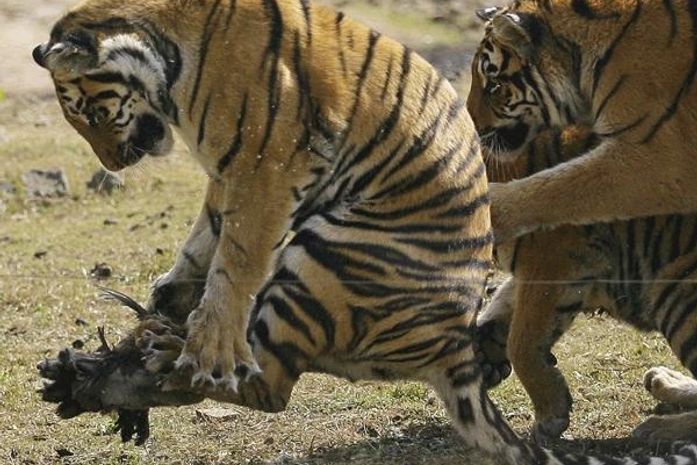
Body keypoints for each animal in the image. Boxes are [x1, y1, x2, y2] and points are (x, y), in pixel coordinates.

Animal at [476, 122, 697, 444]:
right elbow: (503, 306)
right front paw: (484, 351)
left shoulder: (553, 259)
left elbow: (522, 340)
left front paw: (551, 415)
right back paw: (665, 382)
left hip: (676, 288)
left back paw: (656, 428)